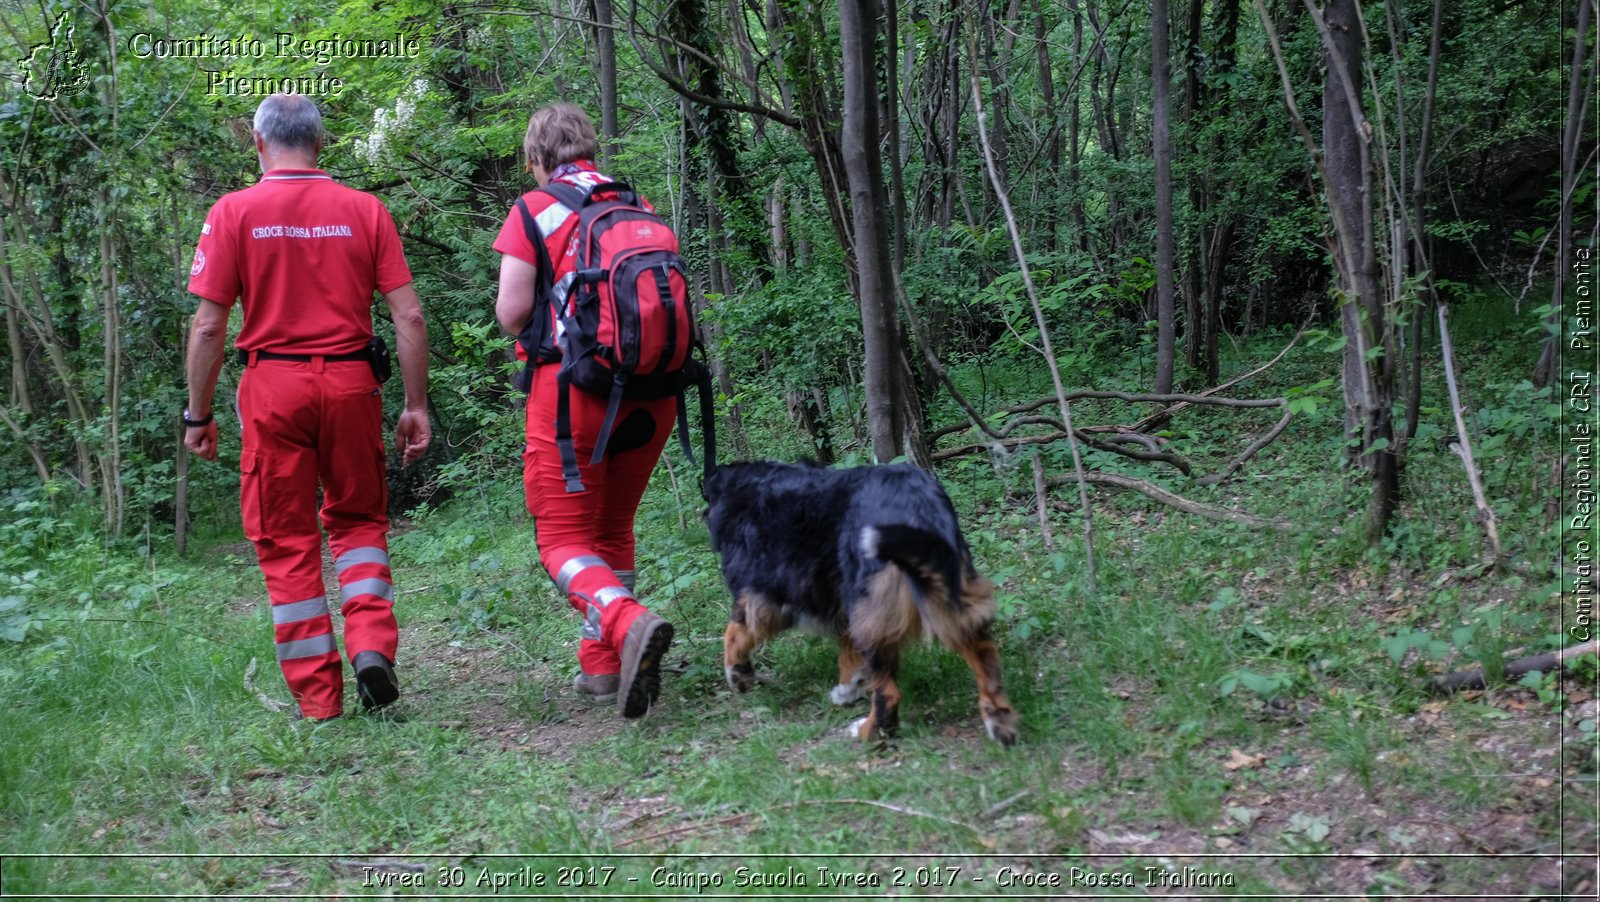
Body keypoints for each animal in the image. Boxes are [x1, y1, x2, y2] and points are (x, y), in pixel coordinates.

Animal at [707, 460, 1017, 742]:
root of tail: (914, 501)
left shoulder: (764, 596)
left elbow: (733, 634)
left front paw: (738, 674)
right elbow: (847, 651)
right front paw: (848, 689)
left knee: (889, 692)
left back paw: (869, 732)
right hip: (938, 592)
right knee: (984, 654)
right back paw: (1000, 722)